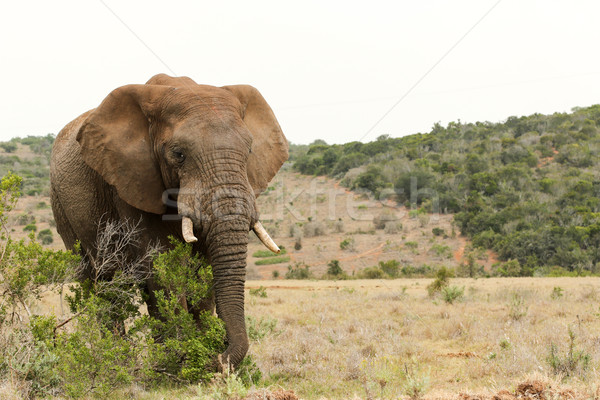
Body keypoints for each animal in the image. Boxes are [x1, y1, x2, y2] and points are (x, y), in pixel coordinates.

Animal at [49, 74, 288, 368]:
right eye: (178, 154)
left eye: (250, 150)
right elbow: (163, 267)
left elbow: (203, 271)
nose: (219, 356)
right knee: (101, 284)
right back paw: (116, 361)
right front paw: (180, 362)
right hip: (61, 205)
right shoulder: (131, 183)